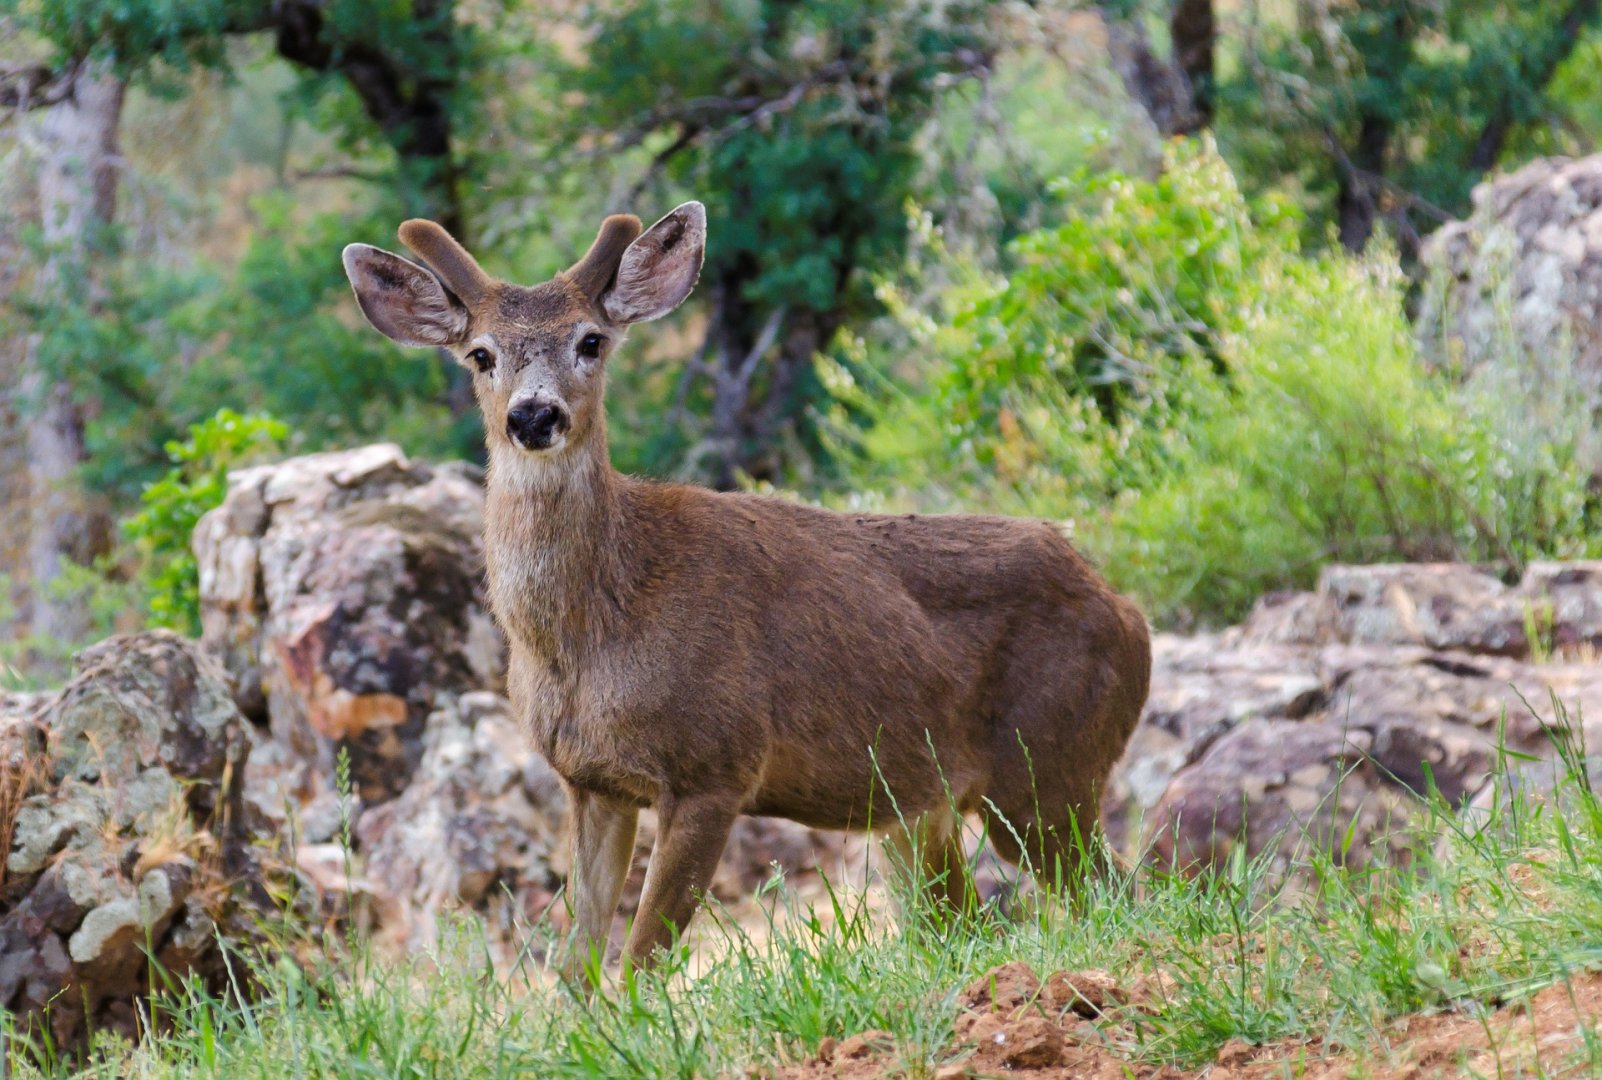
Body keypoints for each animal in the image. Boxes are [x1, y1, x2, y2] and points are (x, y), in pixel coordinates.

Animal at [341, 199, 1153, 974]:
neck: (593, 631)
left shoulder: (715, 765)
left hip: (1048, 763)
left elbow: (639, 962)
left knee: (1121, 892)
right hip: (923, 808)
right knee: (971, 920)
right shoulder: (590, 781)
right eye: (480, 354)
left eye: (591, 341)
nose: (535, 415)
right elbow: (577, 967)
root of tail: (1126, 611)